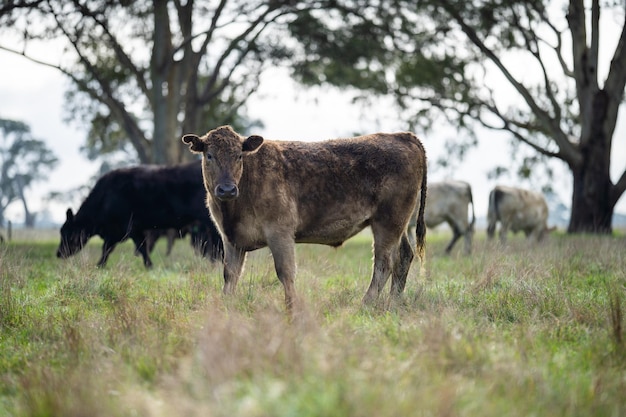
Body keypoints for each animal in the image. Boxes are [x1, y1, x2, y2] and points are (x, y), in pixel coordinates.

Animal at [55, 159, 222, 266]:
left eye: (67, 233)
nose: (58, 254)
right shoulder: (121, 231)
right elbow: (112, 249)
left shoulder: (128, 228)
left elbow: (137, 248)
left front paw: (149, 266)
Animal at [178, 125, 426, 310]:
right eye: (209, 155)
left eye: (239, 155)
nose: (227, 189)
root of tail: (403, 136)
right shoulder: (230, 239)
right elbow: (230, 274)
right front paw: (226, 306)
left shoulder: (280, 232)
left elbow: (285, 272)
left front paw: (292, 309)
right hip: (398, 224)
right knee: (404, 256)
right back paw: (393, 303)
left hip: (388, 221)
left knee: (385, 263)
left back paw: (365, 303)